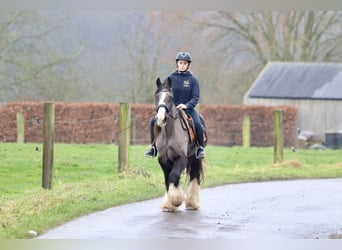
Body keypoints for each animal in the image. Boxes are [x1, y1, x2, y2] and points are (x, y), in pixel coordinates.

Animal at [154, 77, 206, 212]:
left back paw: (192, 203)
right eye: (157, 96)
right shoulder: (163, 160)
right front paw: (169, 205)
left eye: (170, 97)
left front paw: (176, 200)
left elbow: (173, 176)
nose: (160, 118)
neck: (169, 134)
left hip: (195, 158)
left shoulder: (182, 158)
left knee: (194, 175)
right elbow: (168, 179)